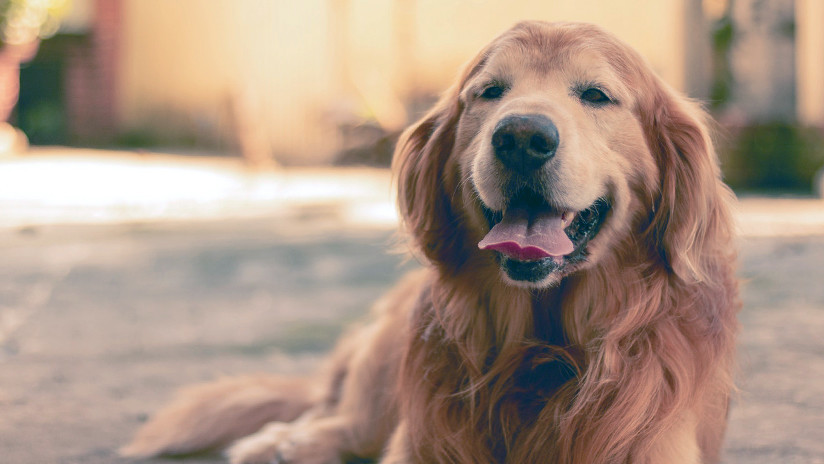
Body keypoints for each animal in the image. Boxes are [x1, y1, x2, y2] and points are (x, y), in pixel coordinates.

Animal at [124, 21, 740, 464]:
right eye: (489, 92)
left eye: (596, 94)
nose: (521, 137)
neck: (539, 351)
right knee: (339, 421)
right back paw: (281, 443)